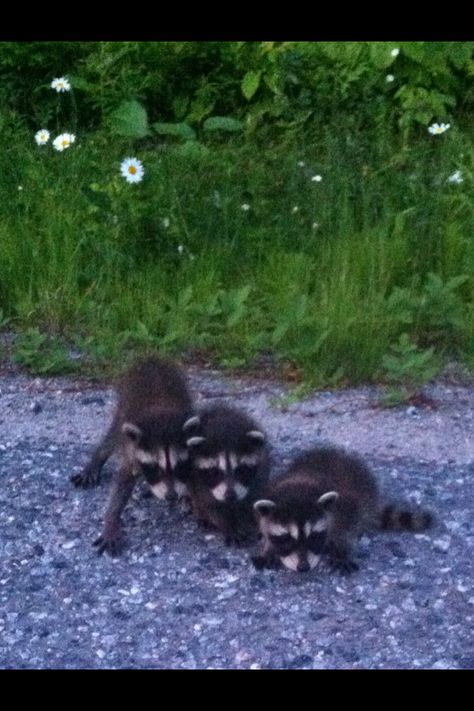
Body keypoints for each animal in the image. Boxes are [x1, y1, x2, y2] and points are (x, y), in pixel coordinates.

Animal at [69, 356, 194, 556]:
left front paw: (189, 496)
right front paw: (111, 522)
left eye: (179, 466)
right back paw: (96, 461)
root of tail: (150, 358)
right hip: (122, 411)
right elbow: (120, 487)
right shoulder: (132, 452)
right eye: (154, 469)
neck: (162, 416)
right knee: (110, 439)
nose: (172, 496)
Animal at [183, 406, 268, 544]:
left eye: (240, 470)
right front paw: (229, 527)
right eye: (215, 472)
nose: (230, 496)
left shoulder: (260, 476)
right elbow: (212, 508)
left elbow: (255, 500)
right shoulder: (200, 482)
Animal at [252, 448, 434, 576]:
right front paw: (268, 549)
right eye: (286, 538)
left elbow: (345, 531)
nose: (303, 567)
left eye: (314, 537)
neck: (299, 485)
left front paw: (342, 551)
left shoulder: (344, 506)